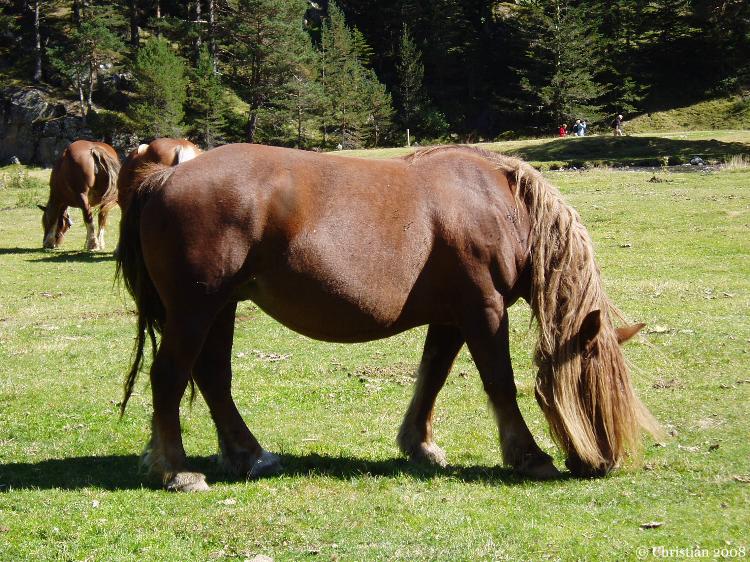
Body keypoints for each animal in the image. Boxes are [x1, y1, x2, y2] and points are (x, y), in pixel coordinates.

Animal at [116, 143, 661, 492]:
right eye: (591, 387)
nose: (606, 464)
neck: (501, 206)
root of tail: (165, 176)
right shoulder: (482, 309)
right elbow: (500, 383)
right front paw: (529, 456)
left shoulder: (452, 317)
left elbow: (432, 377)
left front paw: (420, 445)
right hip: (196, 308)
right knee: (169, 377)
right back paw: (176, 471)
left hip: (221, 307)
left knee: (212, 377)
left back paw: (249, 455)